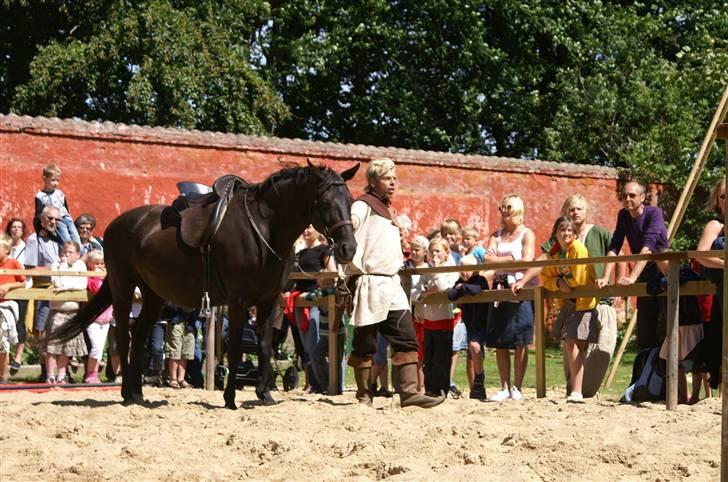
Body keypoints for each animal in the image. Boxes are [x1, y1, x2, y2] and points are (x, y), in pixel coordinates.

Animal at [51, 164, 358, 408]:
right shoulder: (238, 300)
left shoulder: (269, 301)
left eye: (350, 200)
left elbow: (265, 345)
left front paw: (264, 393)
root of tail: (116, 225)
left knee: (138, 336)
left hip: (153, 294)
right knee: (126, 337)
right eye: (325, 201)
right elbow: (235, 346)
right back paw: (127, 393)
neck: (264, 230)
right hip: (122, 287)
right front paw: (230, 398)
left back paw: (137, 394)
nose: (348, 248)